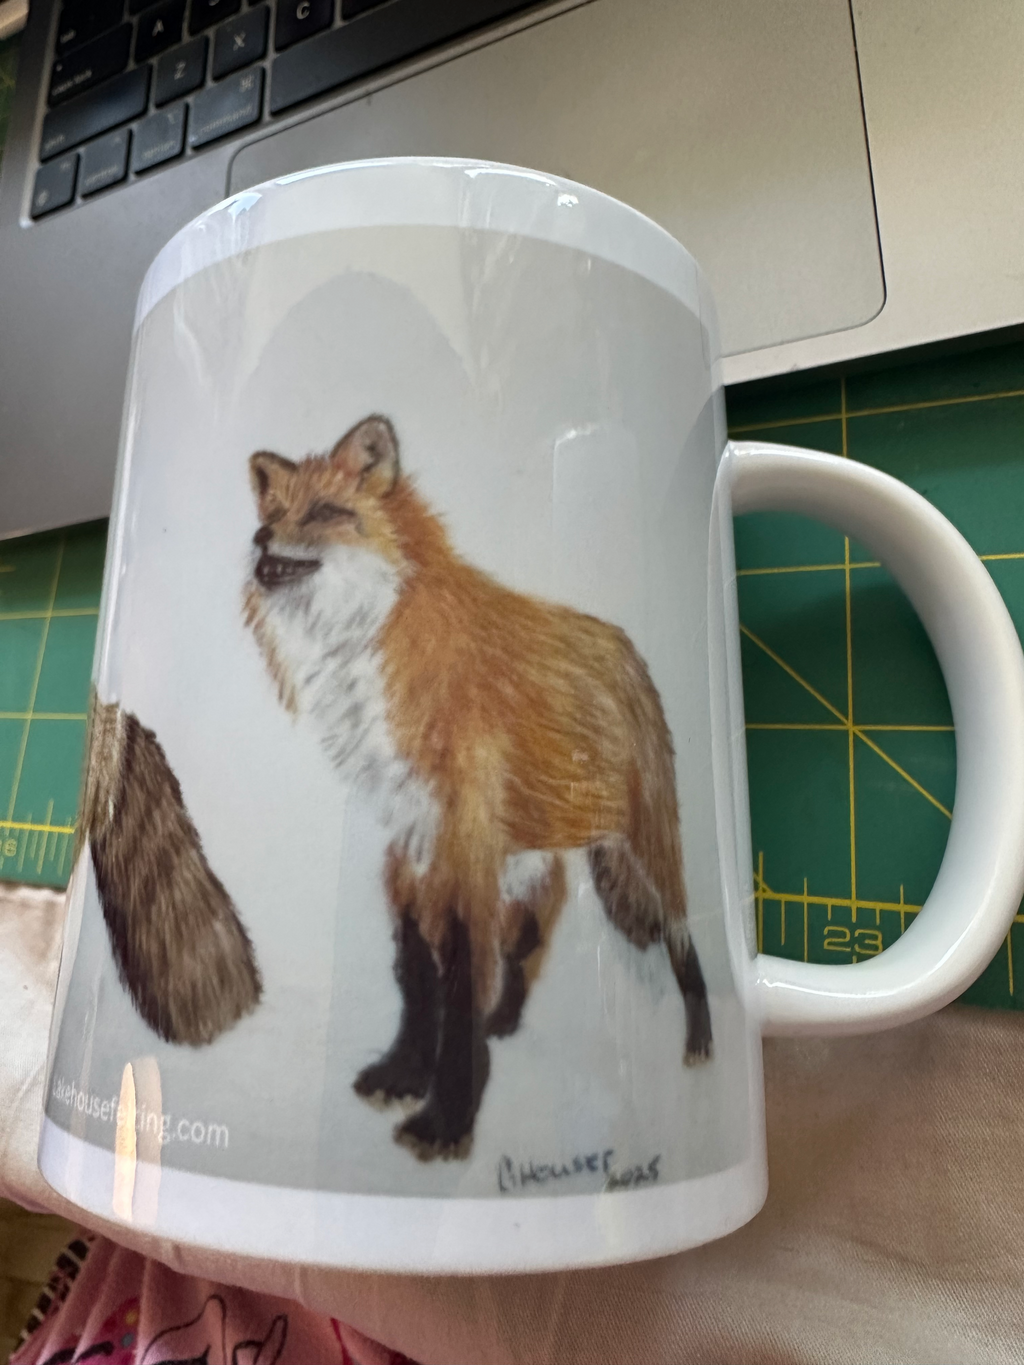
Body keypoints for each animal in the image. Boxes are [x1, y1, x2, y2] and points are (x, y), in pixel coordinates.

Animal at [243, 414, 712, 1161]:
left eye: (321, 513)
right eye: (270, 516)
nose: (260, 541)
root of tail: (628, 649)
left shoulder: (462, 843)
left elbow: (458, 986)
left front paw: (446, 1120)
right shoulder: (413, 841)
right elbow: (418, 975)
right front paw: (406, 1072)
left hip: (643, 851)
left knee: (679, 938)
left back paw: (699, 1047)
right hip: (525, 870)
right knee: (526, 948)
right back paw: (506, 1023)